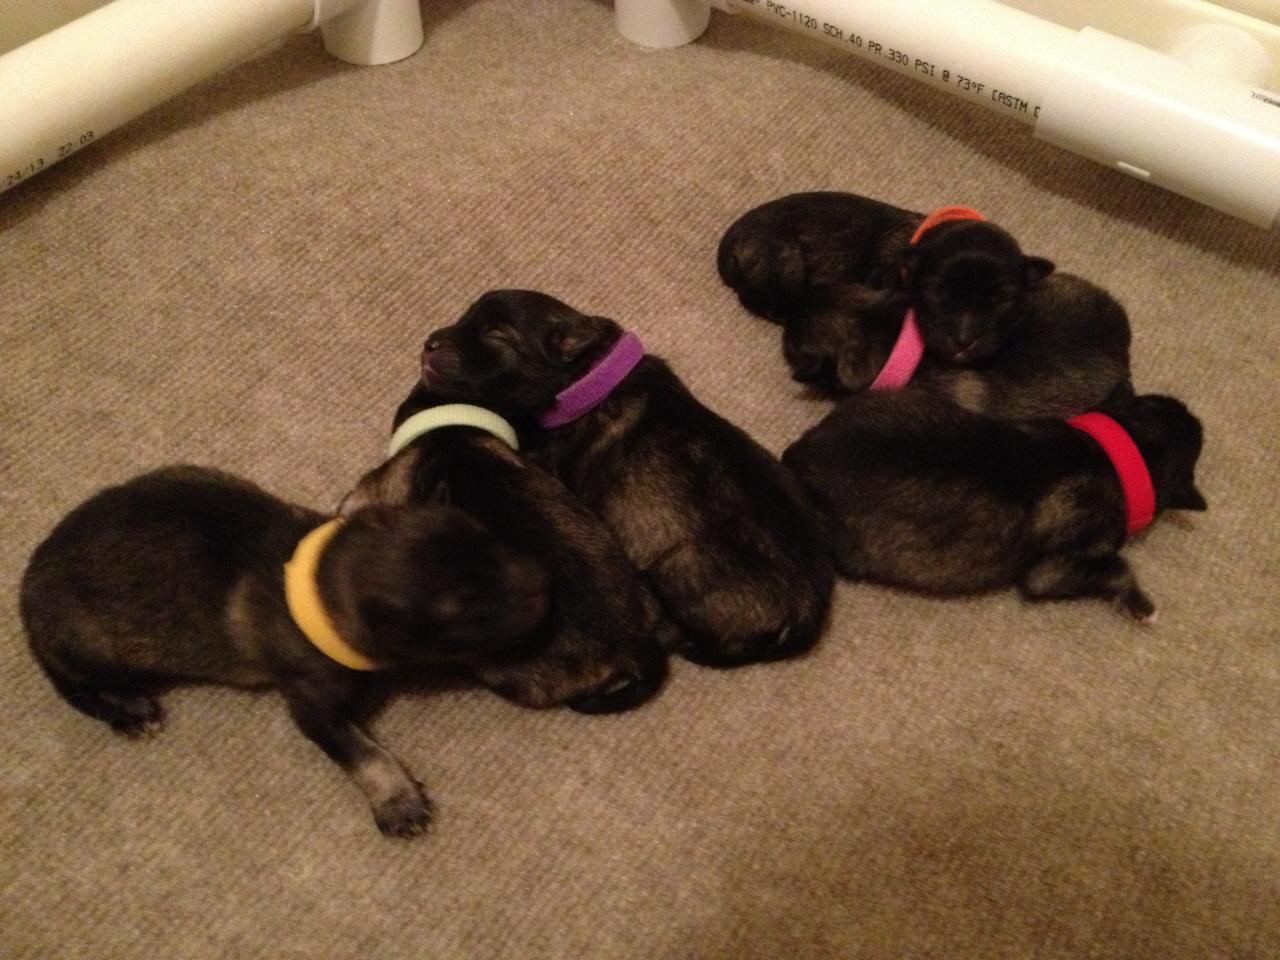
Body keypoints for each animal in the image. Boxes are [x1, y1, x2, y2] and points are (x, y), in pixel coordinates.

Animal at [20, 465, 550, 838]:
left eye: (492, 538)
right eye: (467, 610)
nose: (547, 588)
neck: (323, 584)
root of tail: (26, 594)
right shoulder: (311, 707)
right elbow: (363, 753)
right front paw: (397, 800)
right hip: (89, 646)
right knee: (74, 688)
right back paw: (128, 711)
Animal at [415, 289, 835, 668]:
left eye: (496, 335)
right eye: (467, 315)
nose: (429, 343)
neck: (584, 378)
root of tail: (804, 616)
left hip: (681, 567)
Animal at [781, 391, 1206, 619]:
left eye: (1155, 402)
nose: (1195, 414)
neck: (1113, 459)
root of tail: (801, 451)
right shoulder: (1051, 571)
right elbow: (1120, 566)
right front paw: (1142, 605)